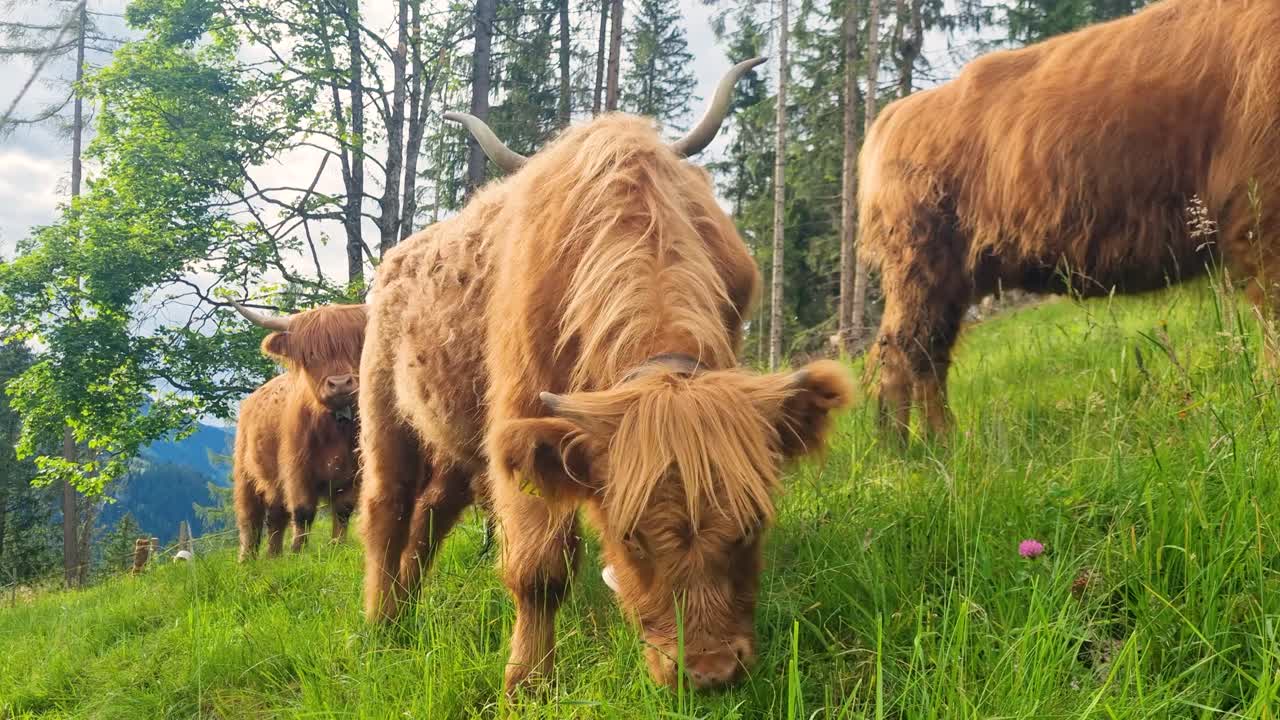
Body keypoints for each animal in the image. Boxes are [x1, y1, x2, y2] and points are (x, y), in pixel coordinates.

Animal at [231, 301, 367, 561]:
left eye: (355, 346)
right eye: (311, 355)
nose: (340, 384)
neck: (334, 427)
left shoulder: (354, 471)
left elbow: (343, 509)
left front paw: (337, 546)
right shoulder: (296, 468)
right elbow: (303, 511)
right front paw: (298, 552)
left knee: (276, 516)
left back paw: (274, 556)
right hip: (245, 474)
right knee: (249, 520)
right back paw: (246, 560)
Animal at [357, 58, 855, 694]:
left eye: (752, 524)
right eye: (629, 535)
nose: (710, 673)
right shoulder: (520, 419)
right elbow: (539, 567)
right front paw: (527, 682)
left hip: (453, 439)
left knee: (428, 516)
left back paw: (404, 611)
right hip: (383, 411)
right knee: (387, 509)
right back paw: (380, 626)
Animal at [857, 0, 1280, 441]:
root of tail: (892, 118)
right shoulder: (1261, 214)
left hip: (949, 280)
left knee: (923, 354)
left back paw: (930, 444)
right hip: (922, 270)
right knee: (907, 351)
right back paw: (918, 447)